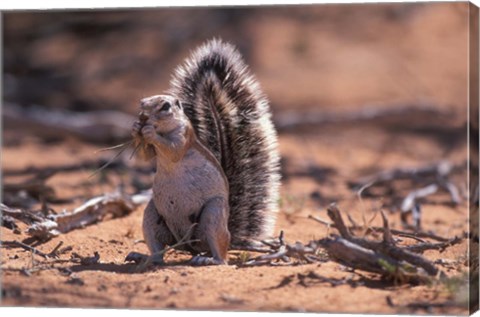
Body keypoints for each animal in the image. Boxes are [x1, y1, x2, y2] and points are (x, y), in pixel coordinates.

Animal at [130, 39, 282, 266]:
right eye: (142, 102)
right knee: (158, 252)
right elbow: (146, 156)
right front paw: (135, 129)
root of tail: (190, 246)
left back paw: (208, 260)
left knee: (222, 256)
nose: (143, 117)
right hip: (152, 213)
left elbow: (172, 149)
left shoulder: (184, 138)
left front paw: (149, 131)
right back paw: (143, 257)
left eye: (165, 106)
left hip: (213, 213)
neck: (165, 130)